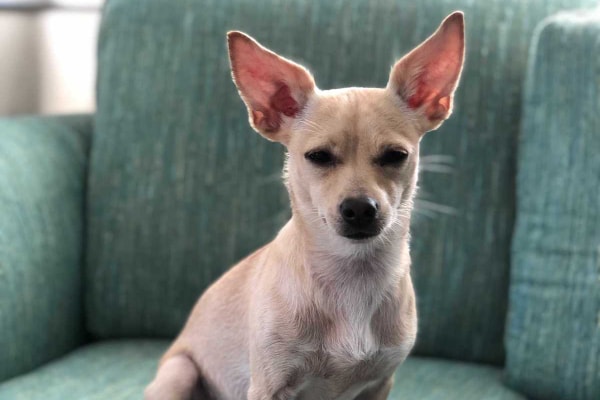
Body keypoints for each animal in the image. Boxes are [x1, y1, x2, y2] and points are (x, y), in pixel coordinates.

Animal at [145, 12, 464, 400]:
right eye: (318, 157)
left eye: (396, 155)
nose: (359, 208)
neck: (352, 277)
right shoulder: (269, 387)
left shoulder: (379, 384)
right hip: (179, 372)